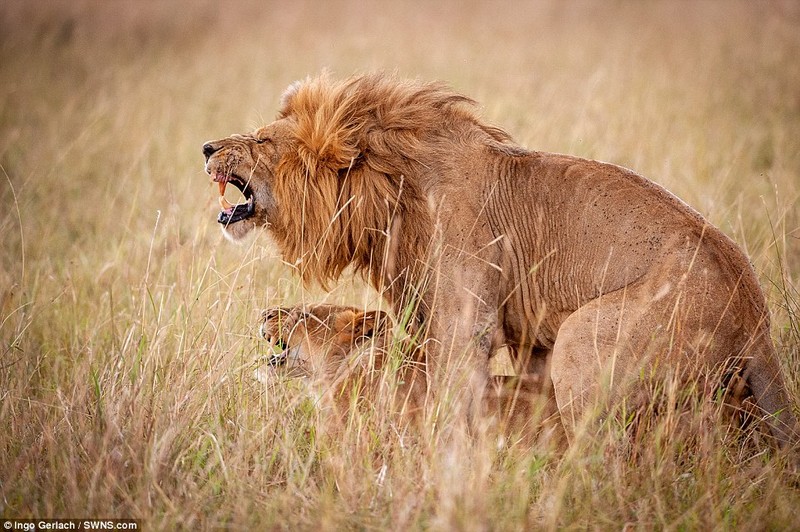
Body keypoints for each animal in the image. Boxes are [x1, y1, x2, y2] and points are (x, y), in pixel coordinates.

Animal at [205, 72, 792, 446]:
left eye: (262, 139)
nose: (208, 148)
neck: (389, 191)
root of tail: (756, 318)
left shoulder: (466, 323)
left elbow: (453, 401)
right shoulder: (530, 341)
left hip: (586, 340)